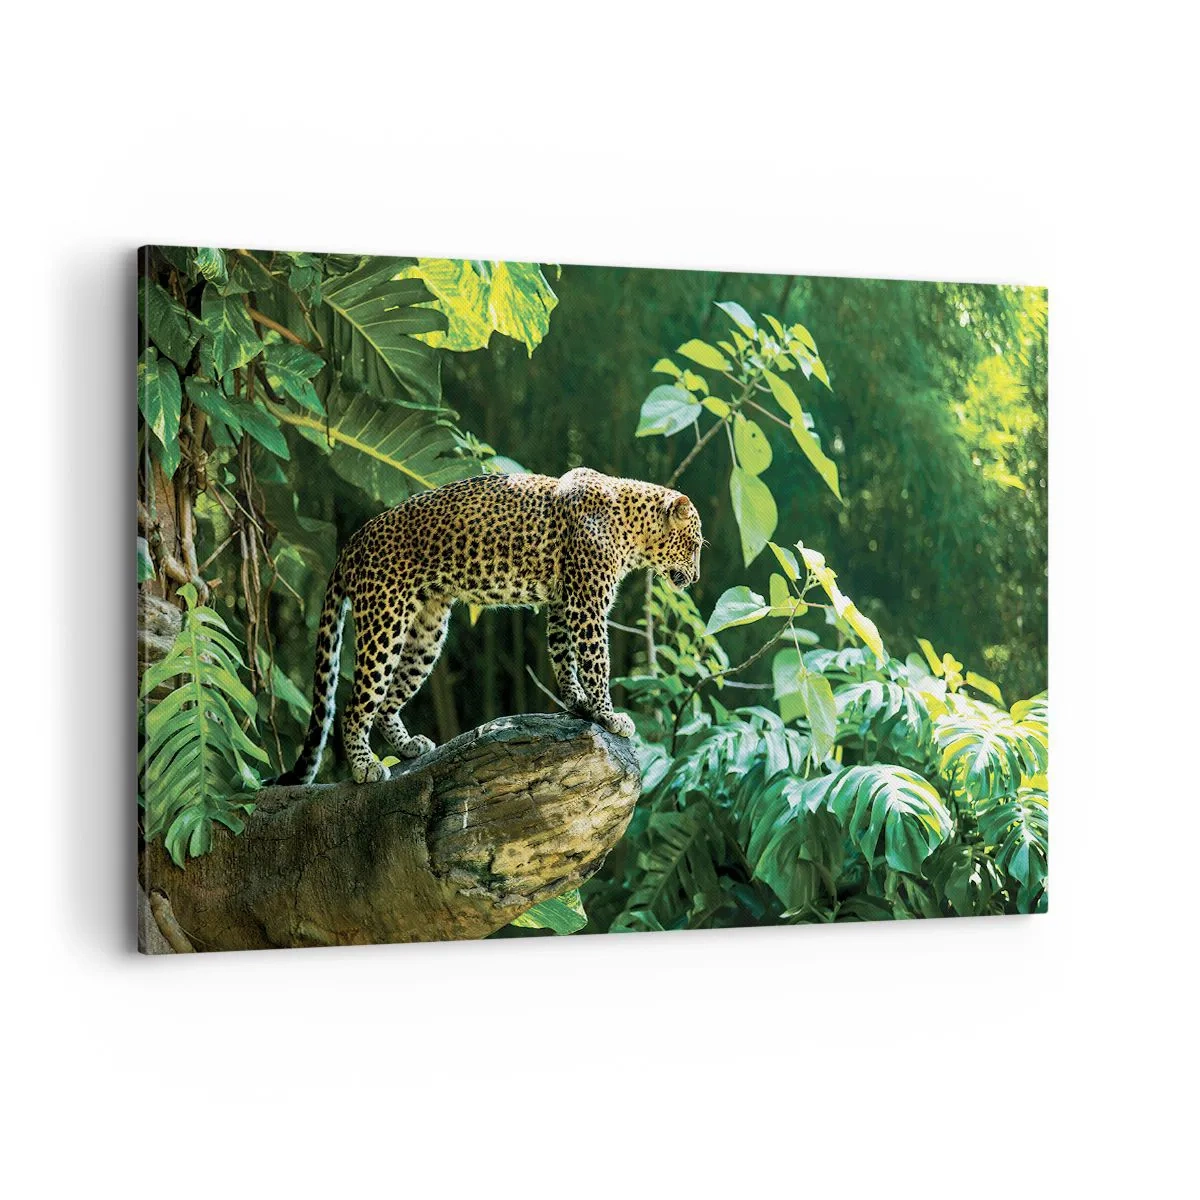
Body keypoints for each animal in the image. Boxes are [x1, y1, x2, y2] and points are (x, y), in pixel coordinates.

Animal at [274, 467, 703, 785]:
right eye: (696, 544)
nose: (697, 577)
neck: (633, 527)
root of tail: (351, 542)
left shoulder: (562, 604)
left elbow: (563, 656)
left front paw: (578, 704)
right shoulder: (586, 605)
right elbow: (596, 662)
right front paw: (608, 716)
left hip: (427, 631)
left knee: (388, 701)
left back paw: (409, 746)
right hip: (384, 620)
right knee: (355, 704)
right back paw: (365, 766)